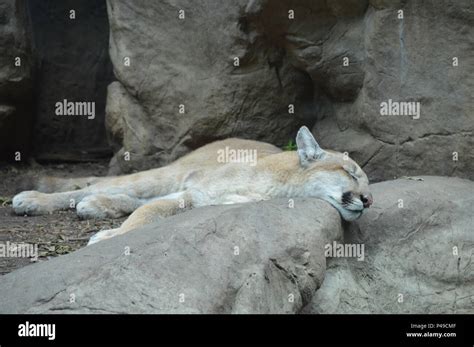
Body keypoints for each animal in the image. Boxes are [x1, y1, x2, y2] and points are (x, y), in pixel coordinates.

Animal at [12, 127, 374, 245]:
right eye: (351, 172)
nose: (368, 200)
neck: (281, 187)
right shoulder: (193, 191)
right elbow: (146, 214)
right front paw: (111, 237)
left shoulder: (198, 198)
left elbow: (148, 210)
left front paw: (109, 230)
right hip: (168, 174)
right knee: (98, 185)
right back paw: (32, 199)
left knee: (127, 196)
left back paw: (97, 206)